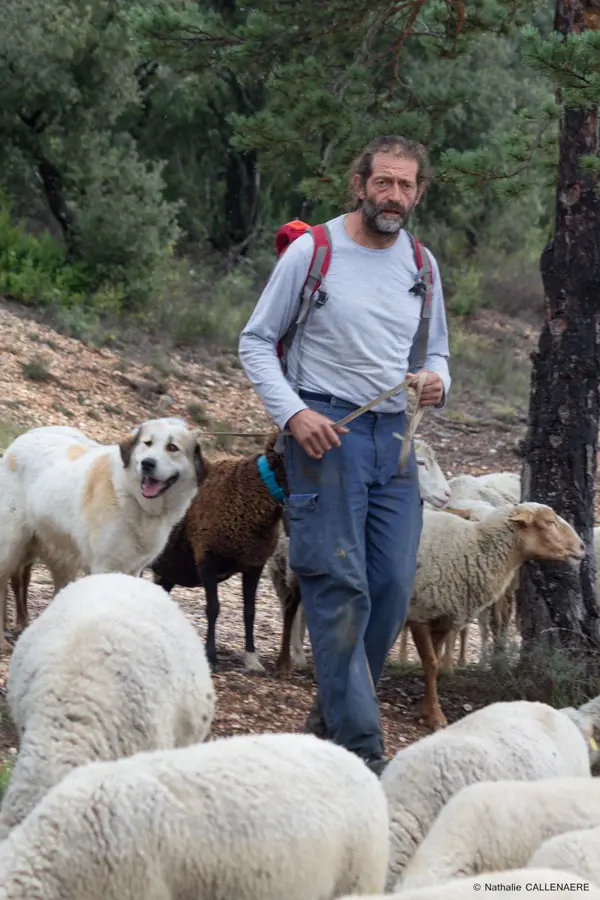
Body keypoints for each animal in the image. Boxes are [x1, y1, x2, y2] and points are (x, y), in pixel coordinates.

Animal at [0, 414, 205, 648]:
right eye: (147, 443)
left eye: (172, 447)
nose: (147, 464)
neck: (131, 498)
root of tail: (18, 442)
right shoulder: (104, 566)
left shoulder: (133, 569)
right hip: (11, 547)